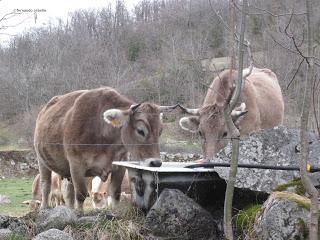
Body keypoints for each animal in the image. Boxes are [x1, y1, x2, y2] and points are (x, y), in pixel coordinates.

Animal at [34, 86, 178, 210]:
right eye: (140, 130)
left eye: (160, 131)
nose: (156, 163)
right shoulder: (76, 164)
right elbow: (80, 194)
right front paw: (79, 214)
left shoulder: (120, 165)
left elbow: (115, 192)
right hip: (42, 160)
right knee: (46, 185)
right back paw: (44, 208)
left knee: (68, 192)